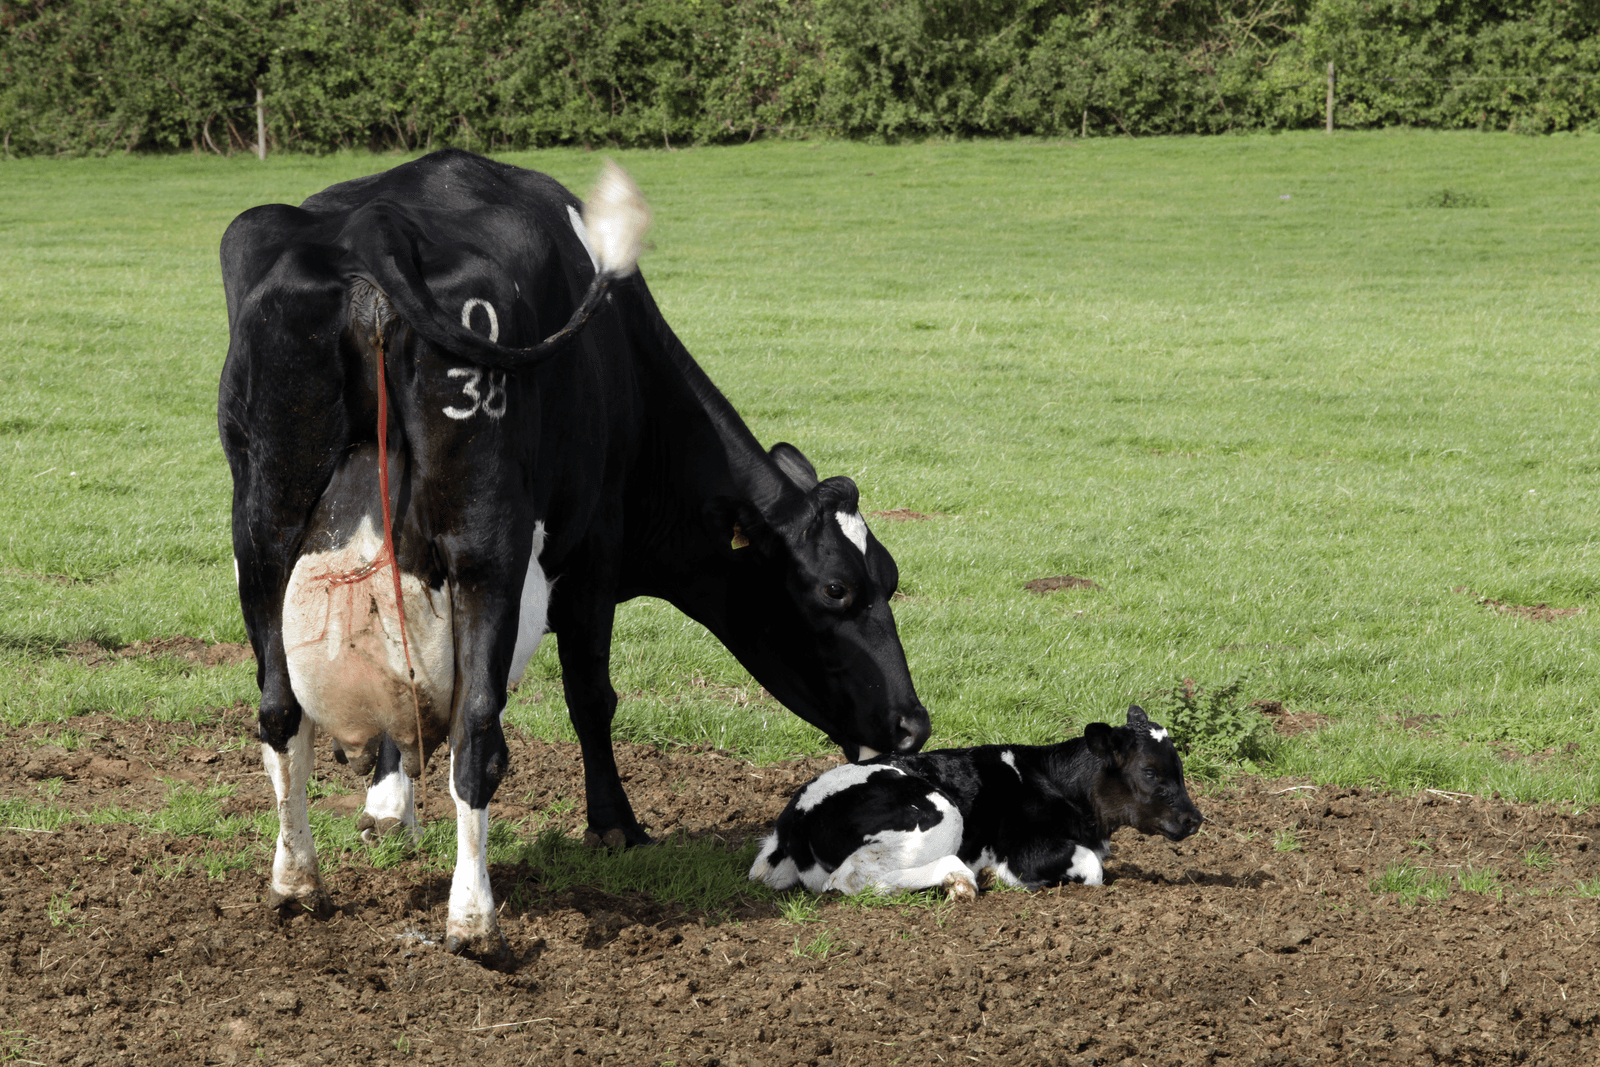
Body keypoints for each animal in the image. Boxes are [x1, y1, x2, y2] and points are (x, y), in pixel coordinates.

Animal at [217, 149, 932, 960]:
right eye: (836, 590)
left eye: (889, 578)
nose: (913, 726)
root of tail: (379, 222)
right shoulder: (594, 556)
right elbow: (591, 697)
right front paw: (616, 825)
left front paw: (387, 806)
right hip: (487, 546)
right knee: (478, 733)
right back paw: (474, 920)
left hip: (264, 528)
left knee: (279, 710)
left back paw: (296, 884)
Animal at [748, 706, 1202, 898]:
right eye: (1150, 772)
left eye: (1179, 768)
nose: (1195, 819)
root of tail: (795, 813)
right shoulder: (1024, 847)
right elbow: (1092, 868)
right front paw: (1003, 878)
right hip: (940, 813)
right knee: (850, 879)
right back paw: (961, 879)